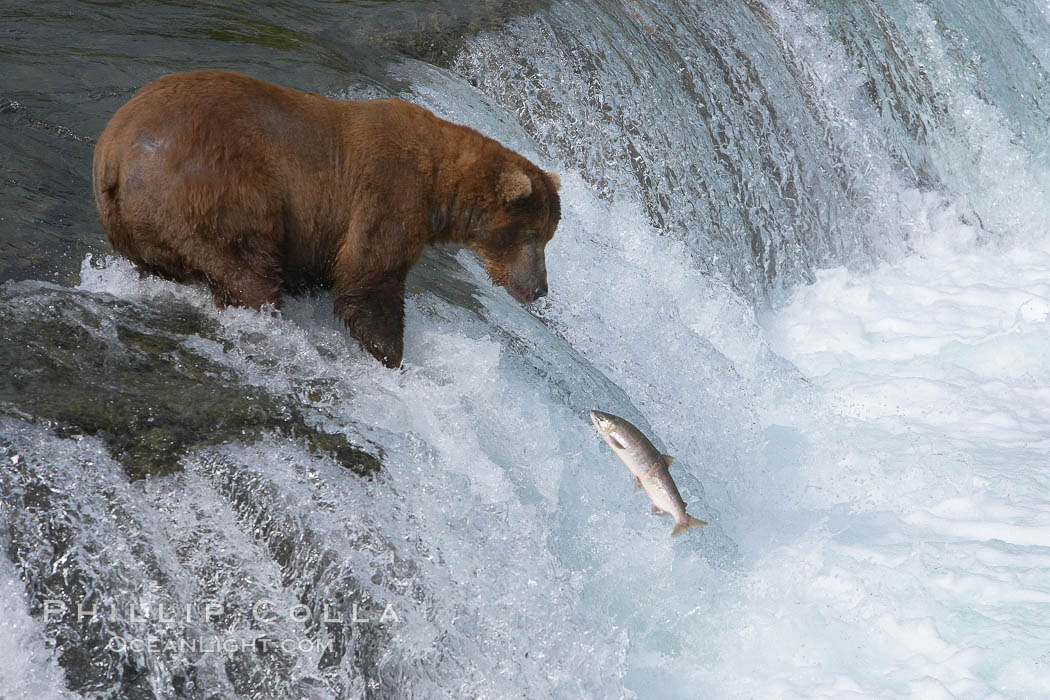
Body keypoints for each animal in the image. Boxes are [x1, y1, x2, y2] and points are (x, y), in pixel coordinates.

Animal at [94, 68, 562, 369]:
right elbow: (370, 277)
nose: (540, 288)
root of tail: (115, 150)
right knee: (245, 268)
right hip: (213, 188)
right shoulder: (388, 193)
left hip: (137, 224)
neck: (438, 185)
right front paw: (390, 353)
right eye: (532, 235)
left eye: (548, 237)